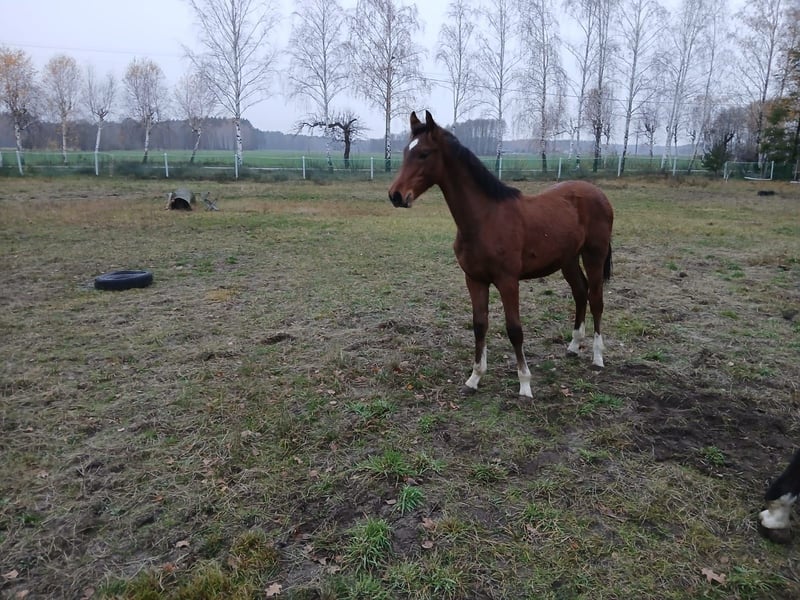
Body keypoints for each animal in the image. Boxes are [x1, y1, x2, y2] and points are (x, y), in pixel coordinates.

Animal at [388, 111, 614, 399]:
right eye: (406, 151)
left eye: (424, 154)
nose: (396, 195)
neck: (485, 218)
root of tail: (599, 193)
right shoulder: (474, 279)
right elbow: (479, 325)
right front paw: (474, 378)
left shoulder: (508, 281)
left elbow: (514, 329)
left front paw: (525, 384)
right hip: (568, 260)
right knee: (580, 292)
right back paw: (573, 347)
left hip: (594, 255)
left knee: (596, 299)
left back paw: (598, 357)